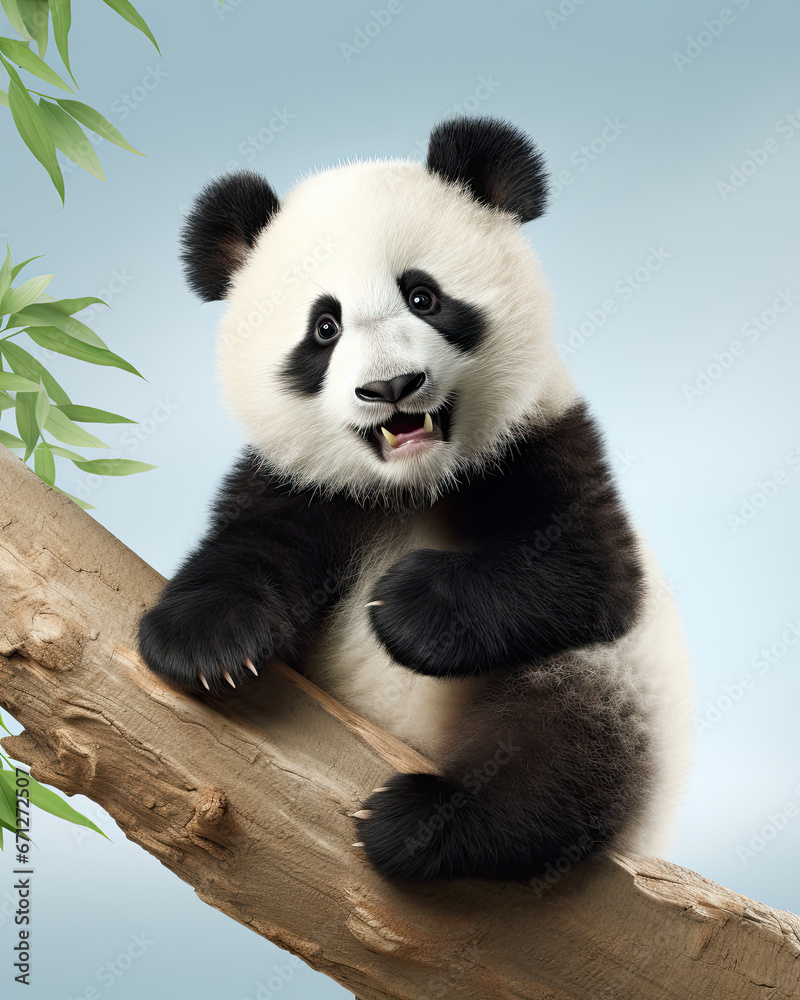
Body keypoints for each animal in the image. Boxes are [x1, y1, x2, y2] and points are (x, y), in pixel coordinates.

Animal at [138, 117, 694, 882]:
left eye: (423, 296)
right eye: (325, 326)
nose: (391, 387)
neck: (410, 486)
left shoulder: (543, 443)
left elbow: (585, 574)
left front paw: (402, 607)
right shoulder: (301, 480)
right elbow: (251, 546)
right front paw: (207, 642)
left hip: (611, 684)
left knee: (554, 758)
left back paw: (425, 821)